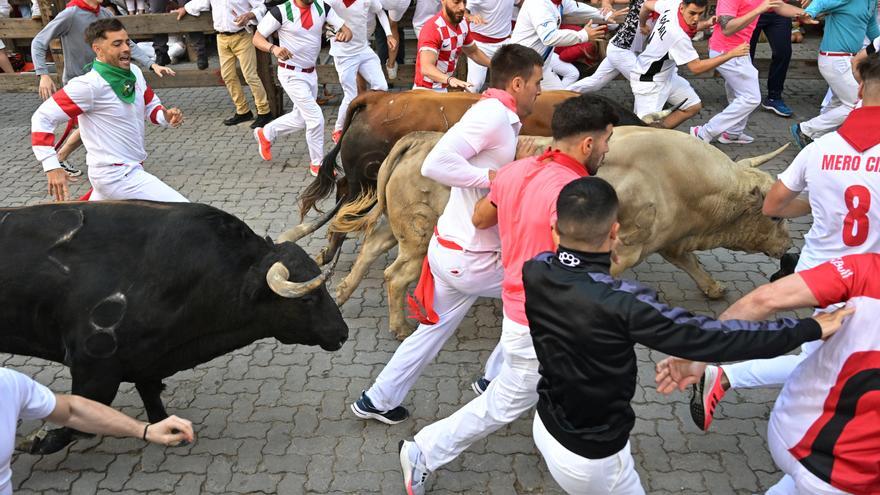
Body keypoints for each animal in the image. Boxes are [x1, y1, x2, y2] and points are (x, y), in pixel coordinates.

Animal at [0, 201, 350, 454]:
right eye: (307, 299)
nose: (342, 332)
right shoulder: (94, 367)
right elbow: (80, 418)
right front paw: (39, 440)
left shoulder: (145, 359)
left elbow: (151, 394)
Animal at [328, 128, 792, 340]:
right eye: (774, 217)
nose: (788, 248)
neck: (677, 177)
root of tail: (421, 139)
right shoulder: (625, 248)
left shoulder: (666, 238)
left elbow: (689, 261)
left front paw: (713, 288)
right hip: (418, 236)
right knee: (395, 276)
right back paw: (399, 325)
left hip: (400, 230)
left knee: (370, 249)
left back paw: (342, 293)